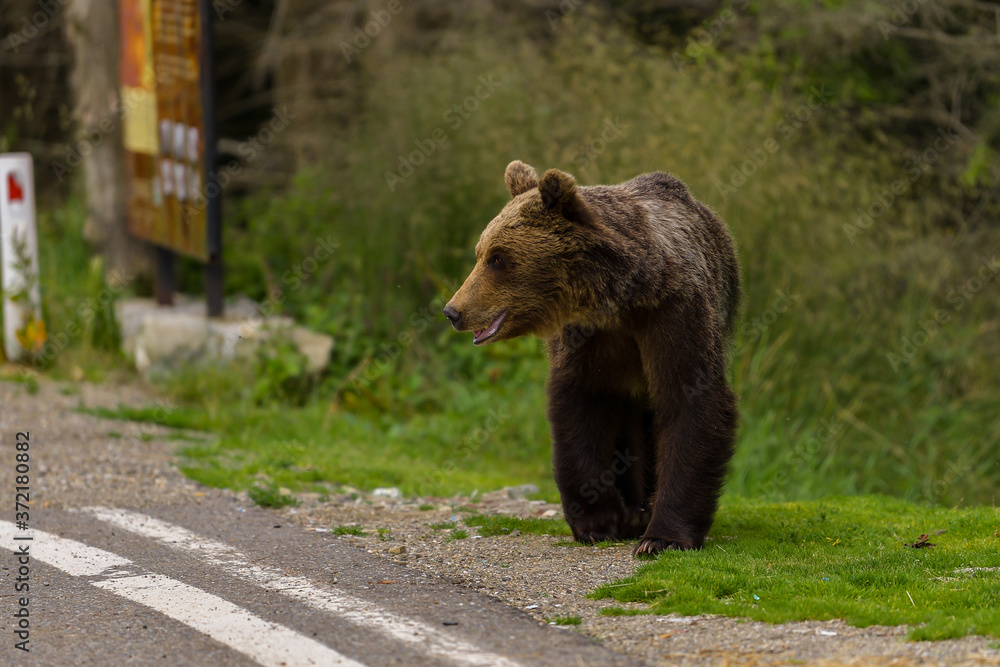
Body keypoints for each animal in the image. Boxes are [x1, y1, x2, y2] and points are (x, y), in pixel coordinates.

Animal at [442, 162, 740, 560]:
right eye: (481, 252)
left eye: (498, 258)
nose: (453, 311)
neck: (622, 301)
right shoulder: (589, 338)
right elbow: (583, 405)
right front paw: (600, 522)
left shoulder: (675, 313)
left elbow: (689, 400)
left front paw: (662, 537)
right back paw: (633, 510)